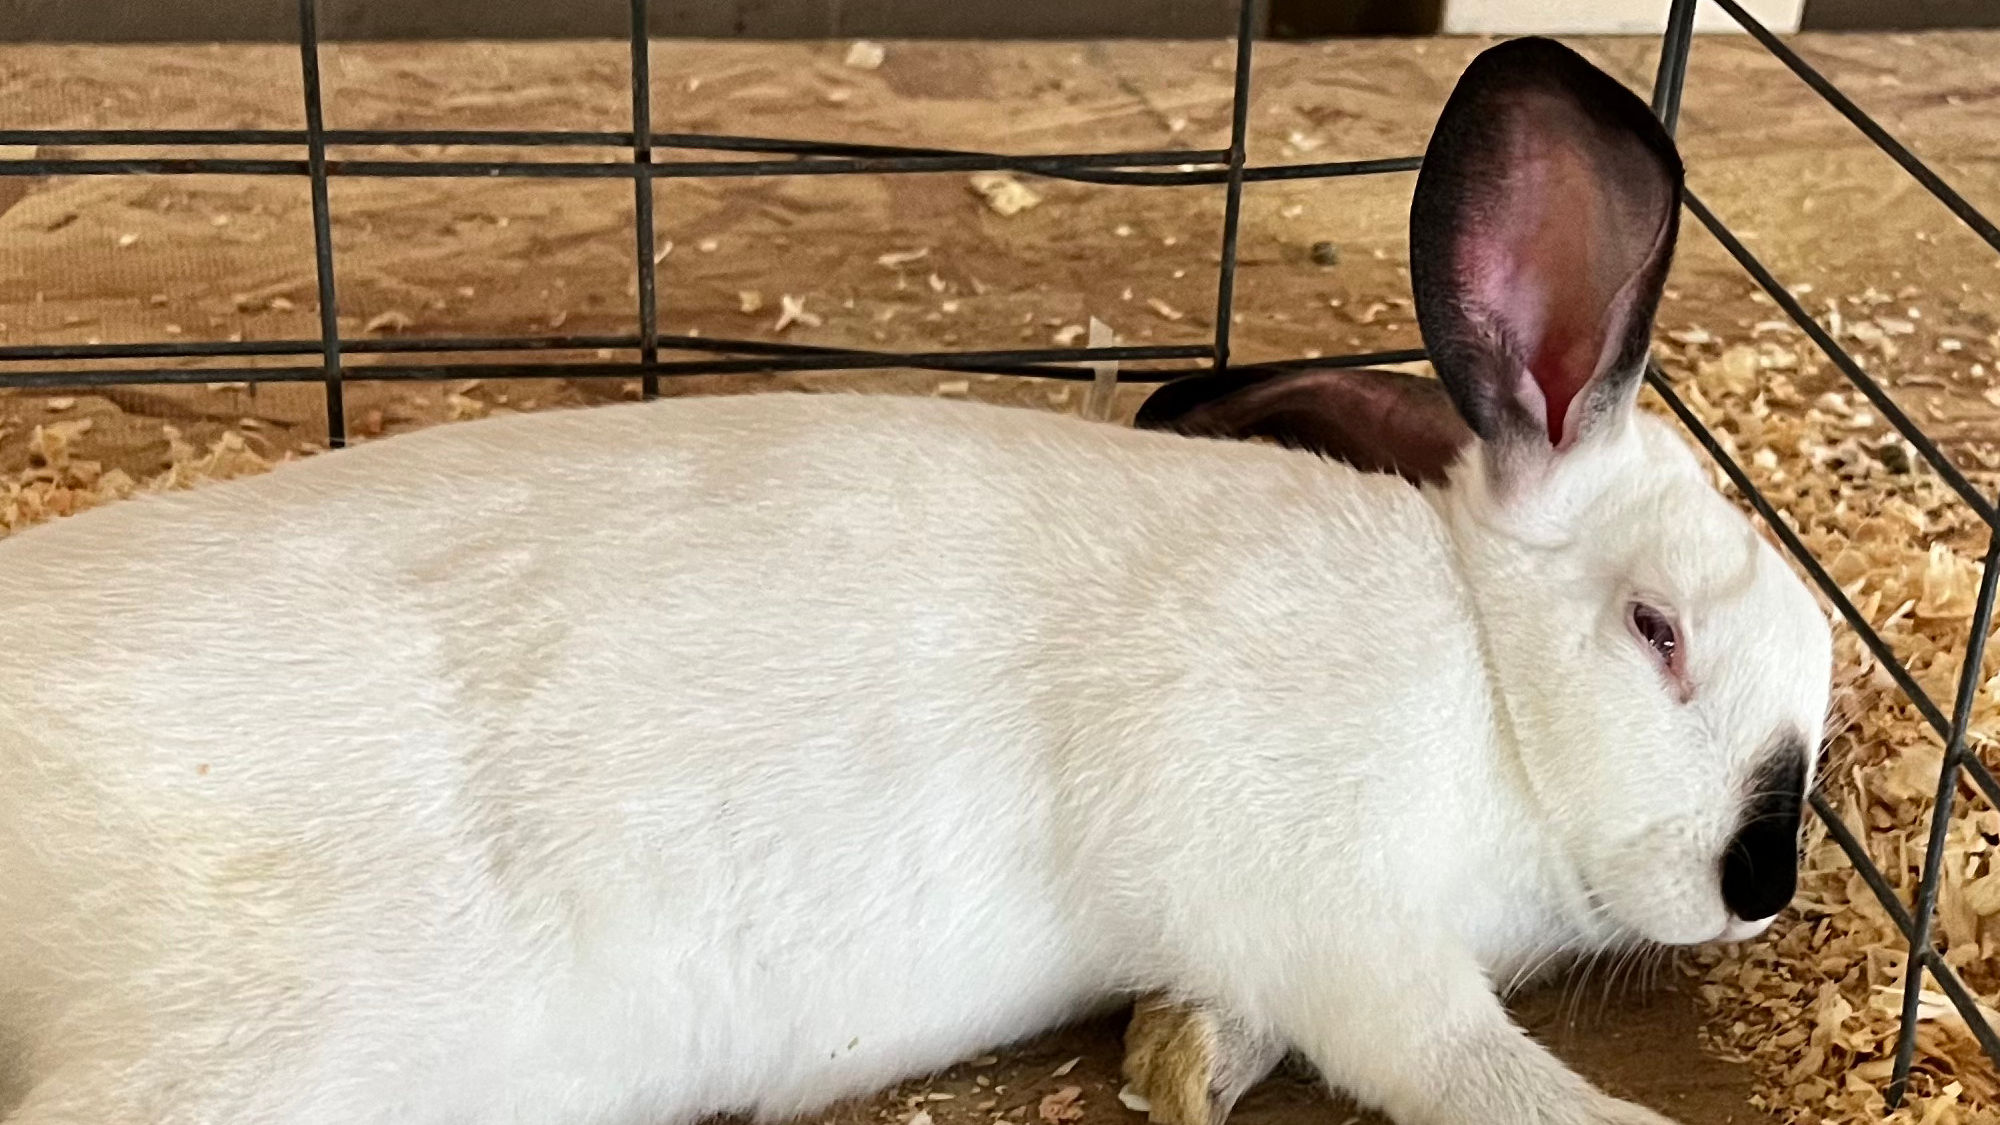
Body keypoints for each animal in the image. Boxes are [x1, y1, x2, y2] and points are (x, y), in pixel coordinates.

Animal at [0, 30, 1832, 1120]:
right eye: (1656, 630)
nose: (1761, 883)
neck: (1482, 691)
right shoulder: (1336, 912)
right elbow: (1462, 1066)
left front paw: (1174, 1064)